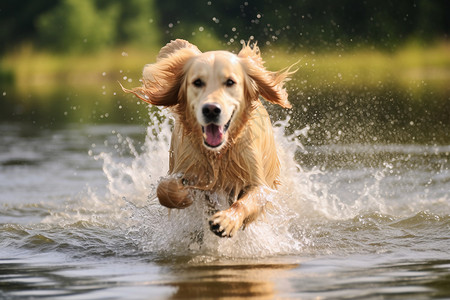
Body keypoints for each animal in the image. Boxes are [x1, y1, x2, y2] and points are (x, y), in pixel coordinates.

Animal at [123, 39, 294, 237]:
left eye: (230, 82)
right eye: (197, 82)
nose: (211, 109)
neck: (218, 155)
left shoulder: (259, 182)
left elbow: (247, 201)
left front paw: (227, 220)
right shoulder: (182, 164)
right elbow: (164, 189)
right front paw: (184, 194)